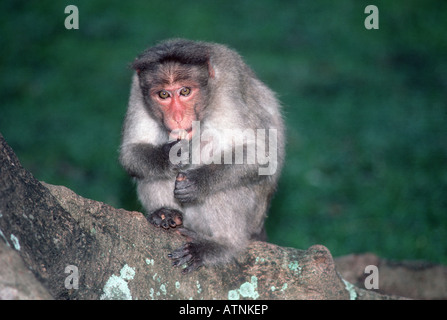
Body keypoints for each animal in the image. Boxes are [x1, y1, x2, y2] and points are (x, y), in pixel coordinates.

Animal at [121, 38, 286, 274]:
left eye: (185, 91)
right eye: (163, 94)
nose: (177, 117)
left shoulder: (230, 88)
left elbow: (262, 155)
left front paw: (198, 182)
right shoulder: (136, 92)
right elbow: (131, 152)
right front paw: (171, 156)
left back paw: (222, 244)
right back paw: (165, 214)